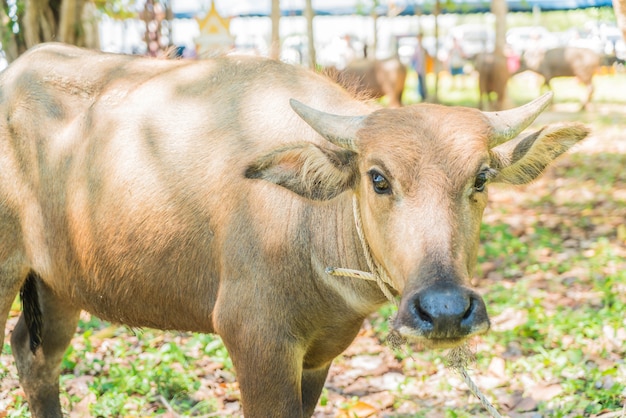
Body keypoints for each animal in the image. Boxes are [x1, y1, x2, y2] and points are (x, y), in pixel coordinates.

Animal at [0, 41, 588, 414]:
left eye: (481, 177)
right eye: (378, 178)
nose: (444, 310)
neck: (307, 227)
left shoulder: (319, 352)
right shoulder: (255, 340)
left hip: (58, 284)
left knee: (35, 358)